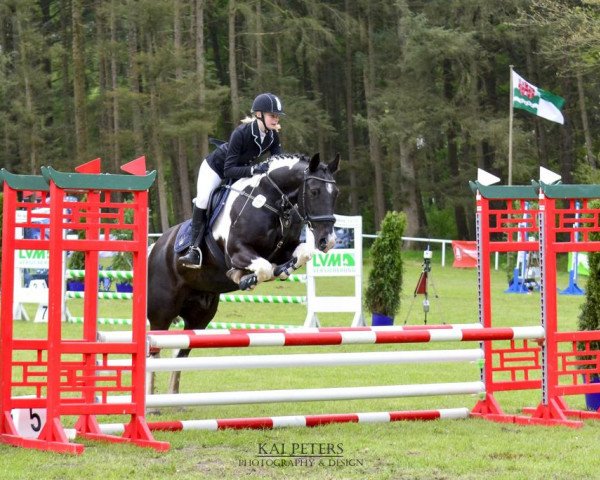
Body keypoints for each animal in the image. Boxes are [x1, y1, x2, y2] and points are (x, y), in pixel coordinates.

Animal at [148, 154, 340, 394]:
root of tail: (157, 246)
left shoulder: (283, 249)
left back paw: (173, 397)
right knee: (153, 351)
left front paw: (282, 270)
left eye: (336, 193)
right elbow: (263, 267)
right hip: (162, 311)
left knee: (180, 351)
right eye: (314, 191)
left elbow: (301, 253)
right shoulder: (237, 251)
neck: (271, 201)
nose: (327, 241)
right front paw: (243, 277)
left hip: (200, 314)